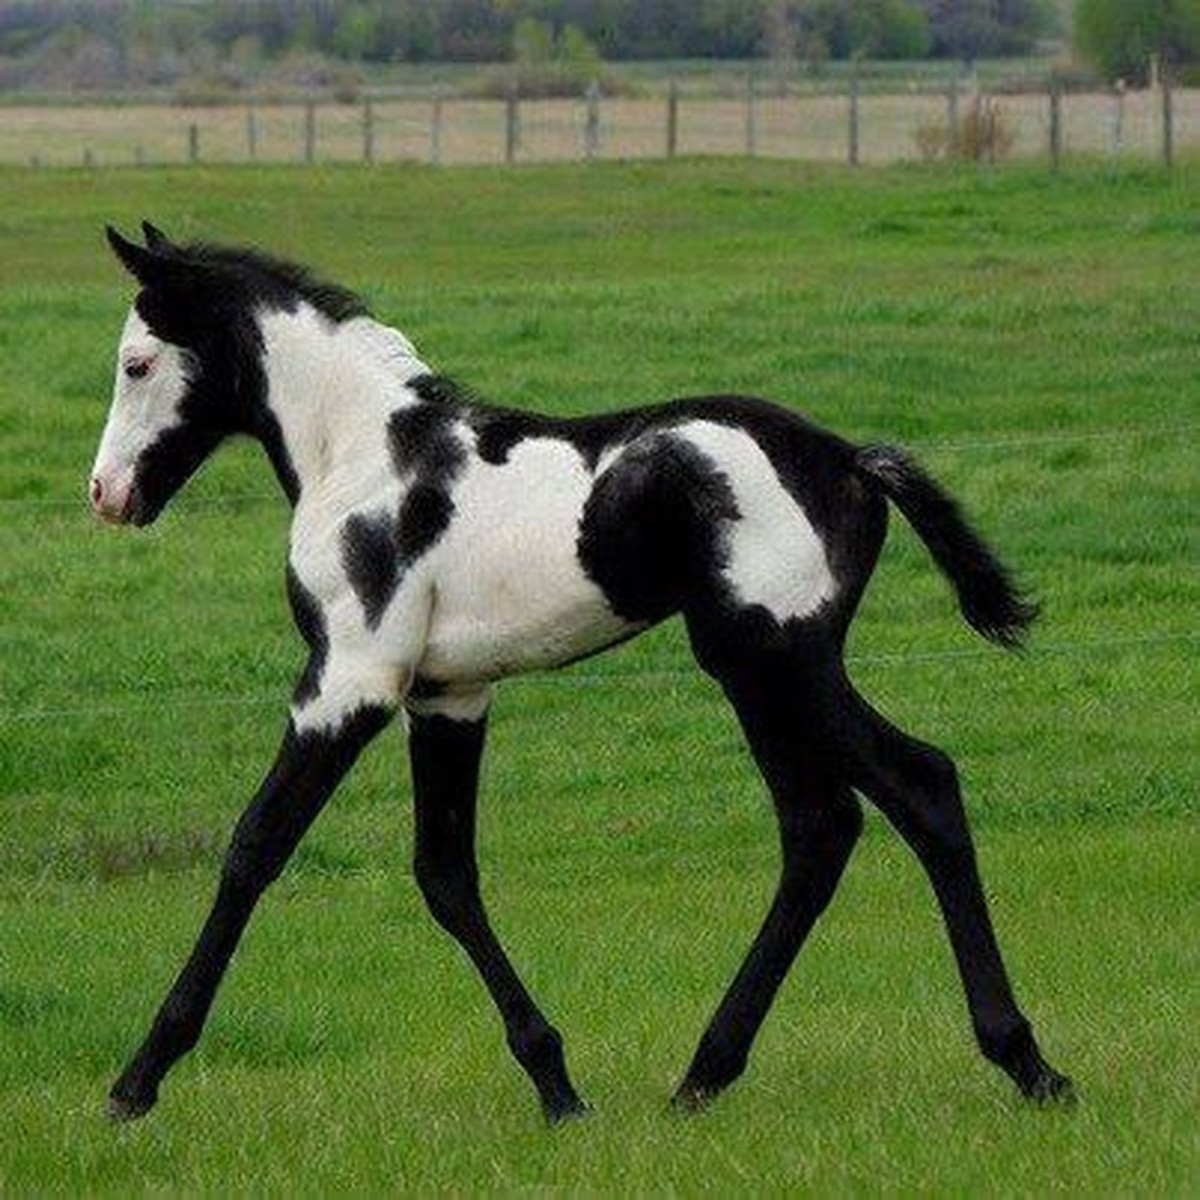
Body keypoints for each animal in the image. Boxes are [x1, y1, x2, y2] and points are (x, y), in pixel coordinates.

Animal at [91, 222, 1072, 1122]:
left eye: (137, 363)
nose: (106, 494)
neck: (367, 460)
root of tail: (848, 460)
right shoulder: (447, 696)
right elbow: (445, 876)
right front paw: (555, 1082)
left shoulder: (349, 683)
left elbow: (255, 848)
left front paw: (138, 1079)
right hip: (760, 676)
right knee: (820, 829)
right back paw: (705, 1074)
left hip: (777, 660)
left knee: (918, 786)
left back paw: (1027, 1063)